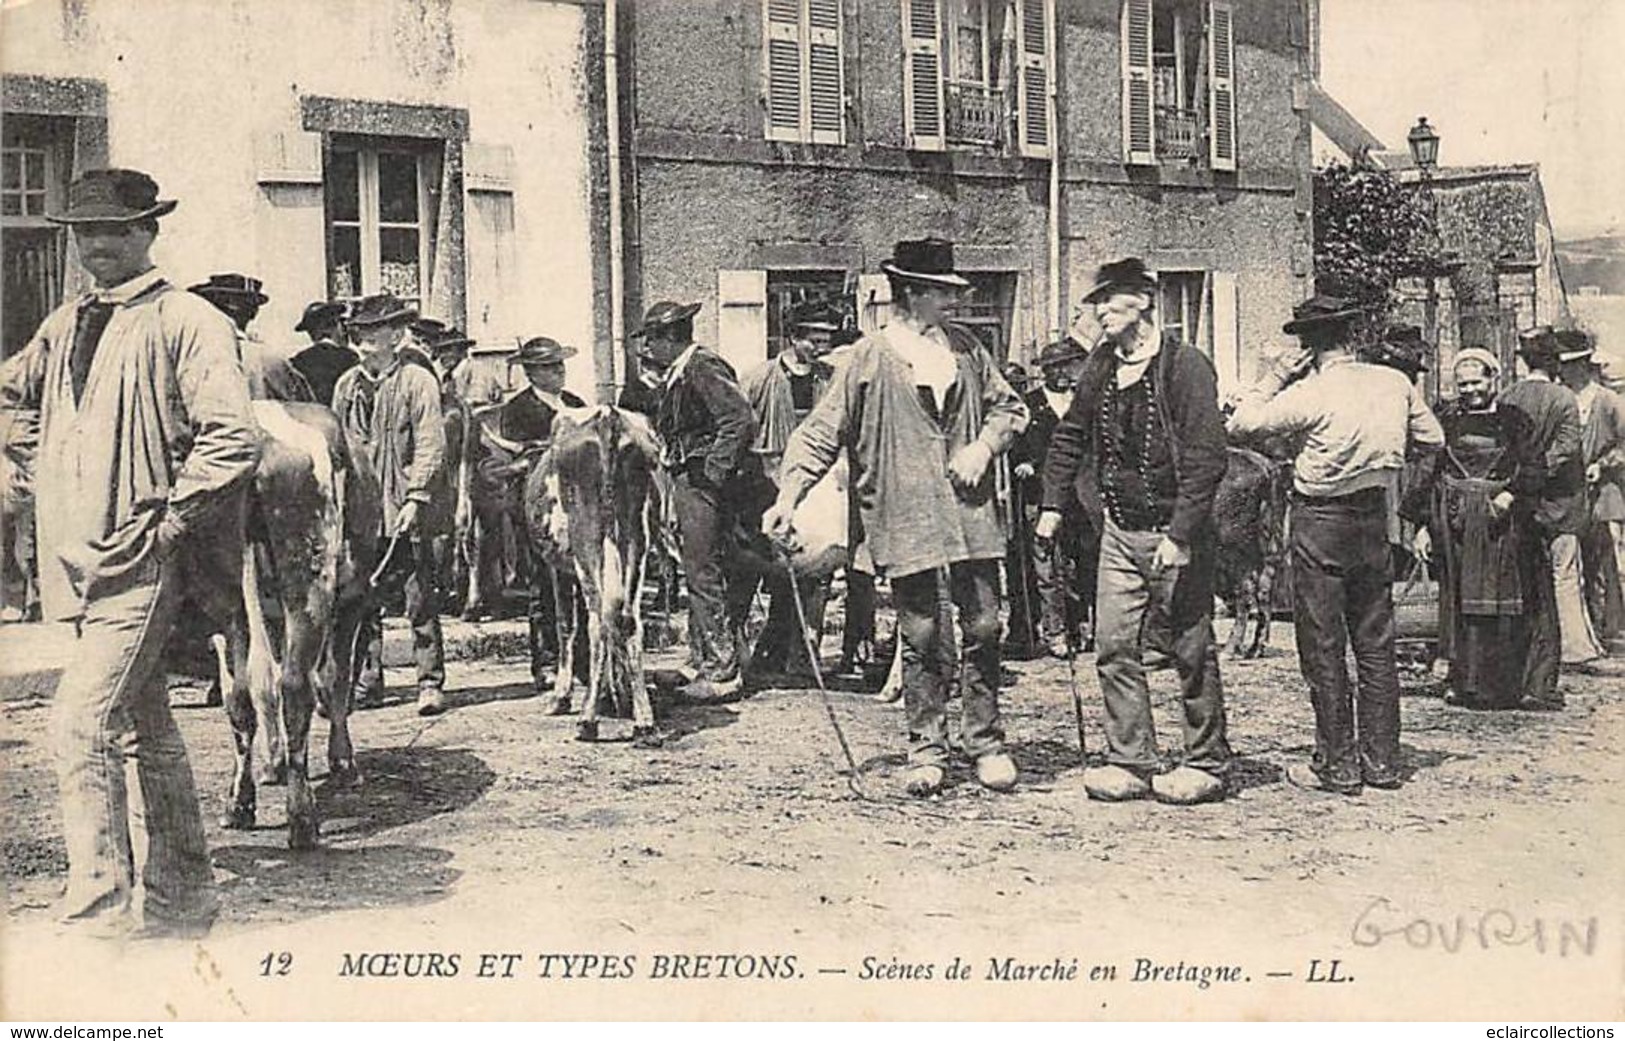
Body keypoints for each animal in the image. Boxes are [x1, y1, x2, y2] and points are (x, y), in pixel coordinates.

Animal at [216, 397, 380, 844]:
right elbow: (336, 678)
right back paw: (302, 820)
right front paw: (344, 764)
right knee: (295, 686)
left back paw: (239, 804)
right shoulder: (354, 597)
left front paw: (273, 764)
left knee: (239, 694)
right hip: (311, 584)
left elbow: (262, 687)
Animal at [526, 406, 666, 747]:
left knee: (598, 623)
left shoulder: (558, 568)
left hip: (587, 544)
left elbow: (566, 625)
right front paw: (617, 695)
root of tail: (608, 416)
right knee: (628, 622)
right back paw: (645, 722)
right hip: (636, 542)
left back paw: (587, 720)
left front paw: (562, 697)